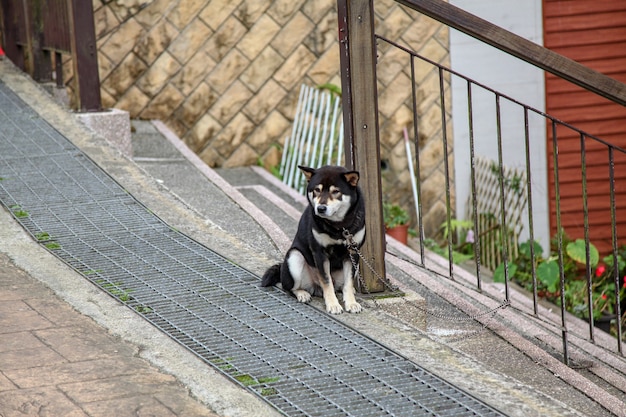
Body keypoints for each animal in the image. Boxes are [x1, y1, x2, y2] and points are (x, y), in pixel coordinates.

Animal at [260, 164, 366, 314]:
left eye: (336, 191)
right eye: (317, 190)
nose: (321, 208)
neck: (339, 227)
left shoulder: (352, 253)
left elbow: (348, 282)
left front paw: (351, 303)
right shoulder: (320, 253)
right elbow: (327, 282)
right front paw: (333, 304)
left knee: (342, 285)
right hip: (294, 257)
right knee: (289, 287)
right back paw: (302, 293)